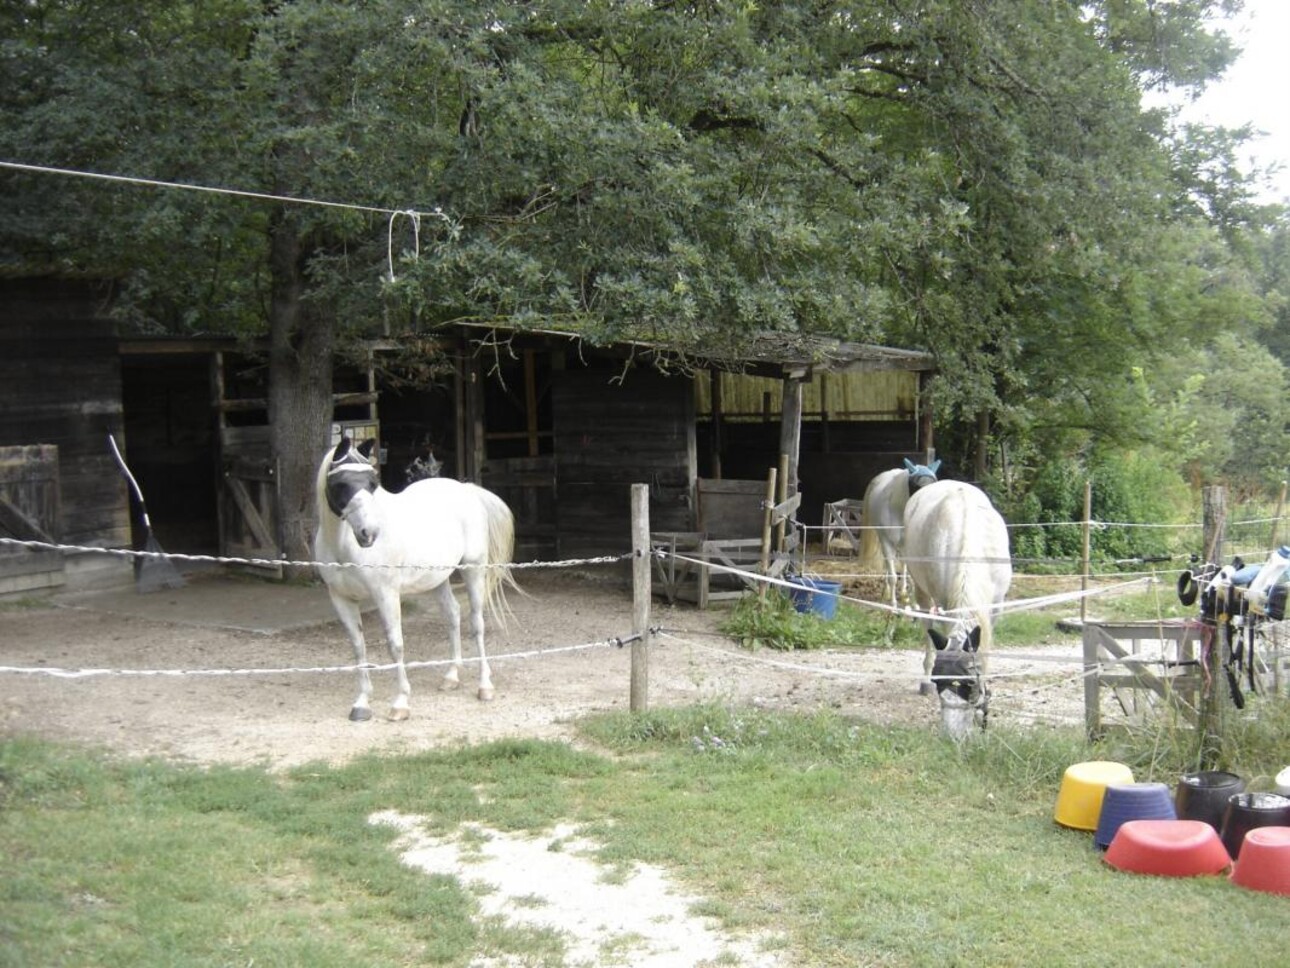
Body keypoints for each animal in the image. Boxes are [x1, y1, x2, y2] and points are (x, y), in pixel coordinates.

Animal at [312, 438, 518, 722]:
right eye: (341, 483)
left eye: (372, 483)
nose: (369, 533)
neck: (343, 546)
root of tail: (467, 490)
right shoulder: (340, 598)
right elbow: (358, 647)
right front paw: (362, 703)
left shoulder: (385, 594)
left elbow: (395, 645)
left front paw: (400, 703)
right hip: (438, 578)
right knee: (453, 614)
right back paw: (451, 677)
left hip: (473, 570)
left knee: (477, 623)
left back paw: (484, 685)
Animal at [861, 462, 944, 606]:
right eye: (916, 486)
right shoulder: (886, 542)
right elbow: (893, 576)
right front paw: (893, 604)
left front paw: (914, 603)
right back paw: (887, 593)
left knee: (904, 566)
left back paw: (905, 594)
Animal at [897, 482, 1006, 738]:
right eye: (940, 682)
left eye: (969, 684)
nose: (951, 735)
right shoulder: (945, 604)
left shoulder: (995, 608)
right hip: (923, 592)